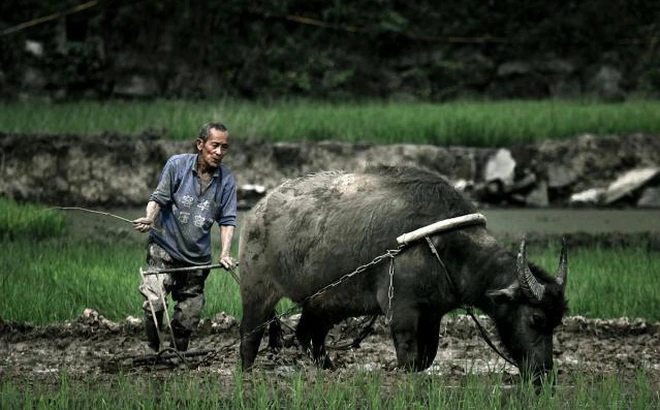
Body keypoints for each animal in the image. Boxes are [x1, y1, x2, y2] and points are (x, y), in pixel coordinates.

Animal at [237, 166, 568, 382]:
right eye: (536, 319)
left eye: (557, 321)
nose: (544, 372)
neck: (445, 245)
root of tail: (256, 211)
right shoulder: (402, 312)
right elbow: (408, 356)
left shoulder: (433, 313)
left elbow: (427, 357)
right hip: (257, 292)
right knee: (250, 336)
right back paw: (246, 375)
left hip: (322, 303)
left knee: (309, 335)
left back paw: (330, 371)